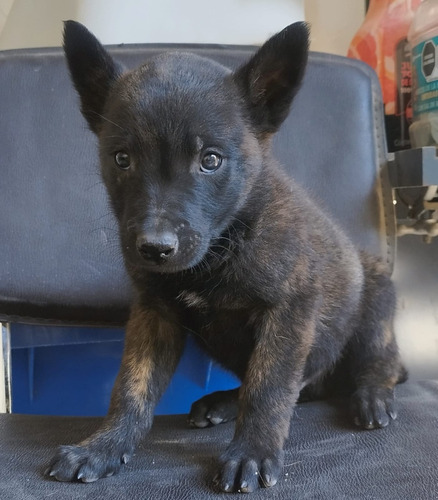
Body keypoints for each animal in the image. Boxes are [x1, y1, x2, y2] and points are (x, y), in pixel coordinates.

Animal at [47, 20, 404, 492]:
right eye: (122, 159)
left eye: (211, 160)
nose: (155, 249)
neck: (225, 245)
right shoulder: (155, 313)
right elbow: (131, 387)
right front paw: (104, 446)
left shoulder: (289, 310)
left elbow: (268, 387)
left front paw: (252, 451)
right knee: (304, 386)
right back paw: (222, 401)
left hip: (375, 305)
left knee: (376, 361)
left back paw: (373, 396)